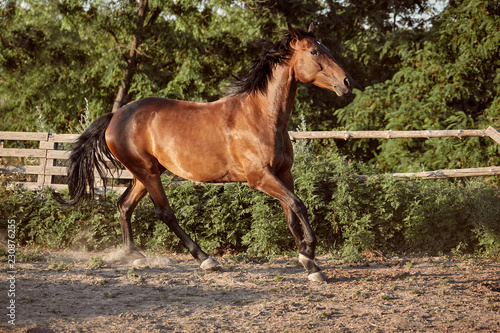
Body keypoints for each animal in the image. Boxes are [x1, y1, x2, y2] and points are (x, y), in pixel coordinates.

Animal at [58, 24, 354, 282]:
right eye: (314, 52)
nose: (347, 82)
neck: (262, 116)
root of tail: (116, 116)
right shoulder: (260, 177)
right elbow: (298, 204)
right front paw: (309, 256)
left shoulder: (283, 173)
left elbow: (292, 214)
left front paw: (309, 263)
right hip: (147, 172)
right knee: (164, 212)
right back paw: (205, 259)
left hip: (145, 173)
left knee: (124, 205)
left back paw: (136, 256)